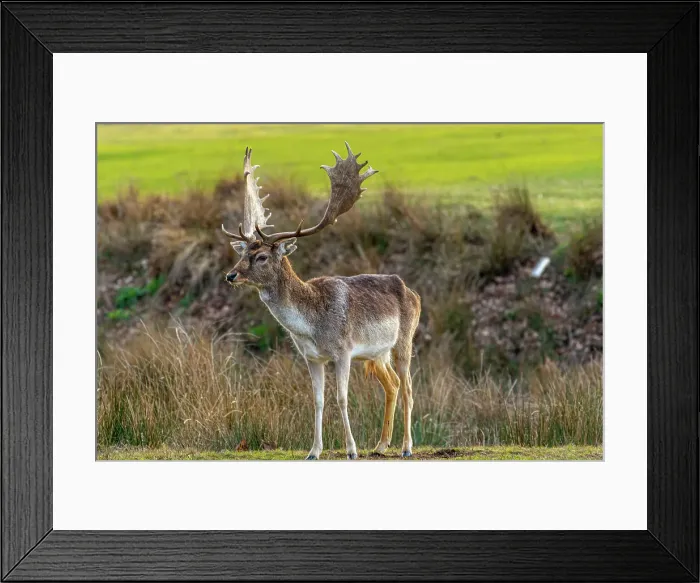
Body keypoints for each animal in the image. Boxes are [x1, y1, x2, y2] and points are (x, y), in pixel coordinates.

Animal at [222, 143, 421, 460]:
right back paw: (380, 445)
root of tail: (415, 294)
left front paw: (351, 450)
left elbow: (341, 398)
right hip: (377, 353)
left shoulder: (343, 351)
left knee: (408, 388)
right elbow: (317, 400)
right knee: (392, 384)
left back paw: (406, 447)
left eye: (262, 256)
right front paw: (314, 450)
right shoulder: (312, 357)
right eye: (241, 254)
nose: (230, 275)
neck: (311, 326)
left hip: (404, 341)